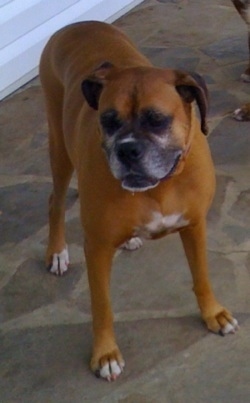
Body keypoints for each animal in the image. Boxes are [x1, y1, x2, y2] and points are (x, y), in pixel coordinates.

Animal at [39, 21, 238, 382]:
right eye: (108, 121)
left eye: (157, 119)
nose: (127, 149)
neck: (158, 188)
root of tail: (75, 24)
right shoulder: (97, 248)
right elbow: (102, 305)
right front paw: (105, 354)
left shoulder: (195, 226)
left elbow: (201, 276)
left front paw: (213, 313)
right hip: (58, 147)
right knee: (55, 201)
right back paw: (57, 252)